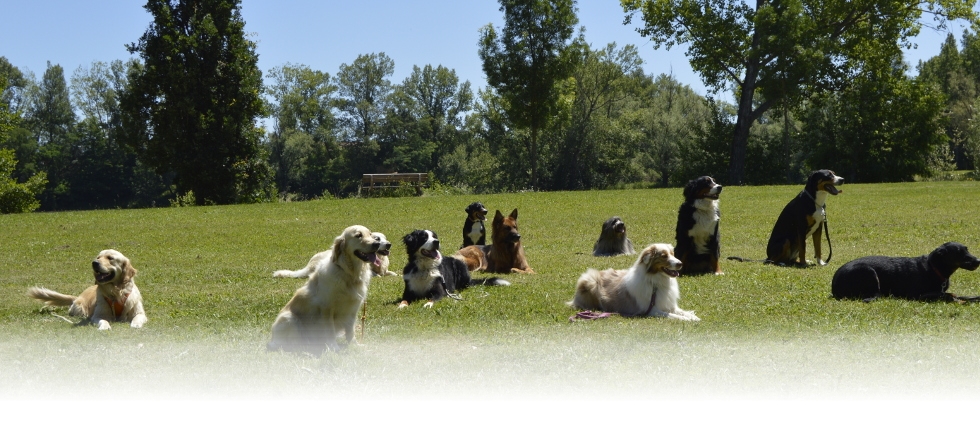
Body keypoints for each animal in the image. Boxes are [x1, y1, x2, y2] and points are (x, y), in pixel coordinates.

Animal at [832, 241, 980, 300]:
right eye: (959, 253)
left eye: (967, 249)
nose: (978, 261)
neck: (934, 268)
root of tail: (834, 286)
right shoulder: (920, 295)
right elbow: (950, 295)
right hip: (868, 271)